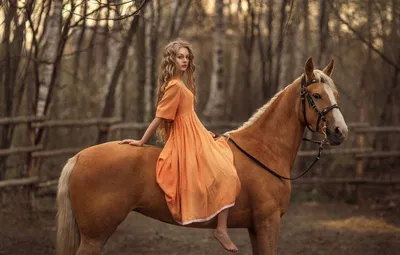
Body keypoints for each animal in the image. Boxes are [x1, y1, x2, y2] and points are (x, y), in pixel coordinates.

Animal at [55, 56, 346, 254]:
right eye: (316, 95)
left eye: (335, 93)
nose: (339, 132)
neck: (263, 151)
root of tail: (78, 157)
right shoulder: (267, 223)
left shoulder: (256, 227)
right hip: (95, 236)